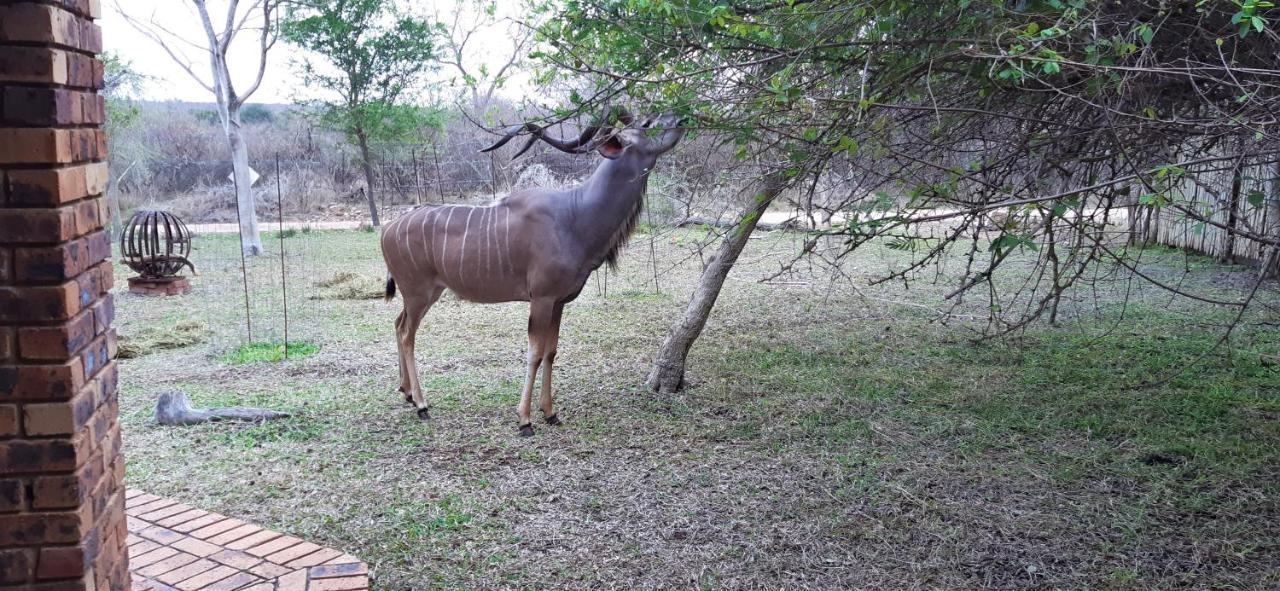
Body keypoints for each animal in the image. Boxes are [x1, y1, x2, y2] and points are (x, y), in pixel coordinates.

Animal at [378, 108, 686, 437]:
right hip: (418, 293)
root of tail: (387, 228)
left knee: (397, 324)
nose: (680, 118)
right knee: (407, 334)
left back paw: (407, 393)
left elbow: (551, 352)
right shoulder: (541, 298)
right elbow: (535, 353)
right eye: (648, 123)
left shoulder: (559, 302)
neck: (575, 215)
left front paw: (550, 413)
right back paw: (422, 405)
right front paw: (525, 420)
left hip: (422, 294)